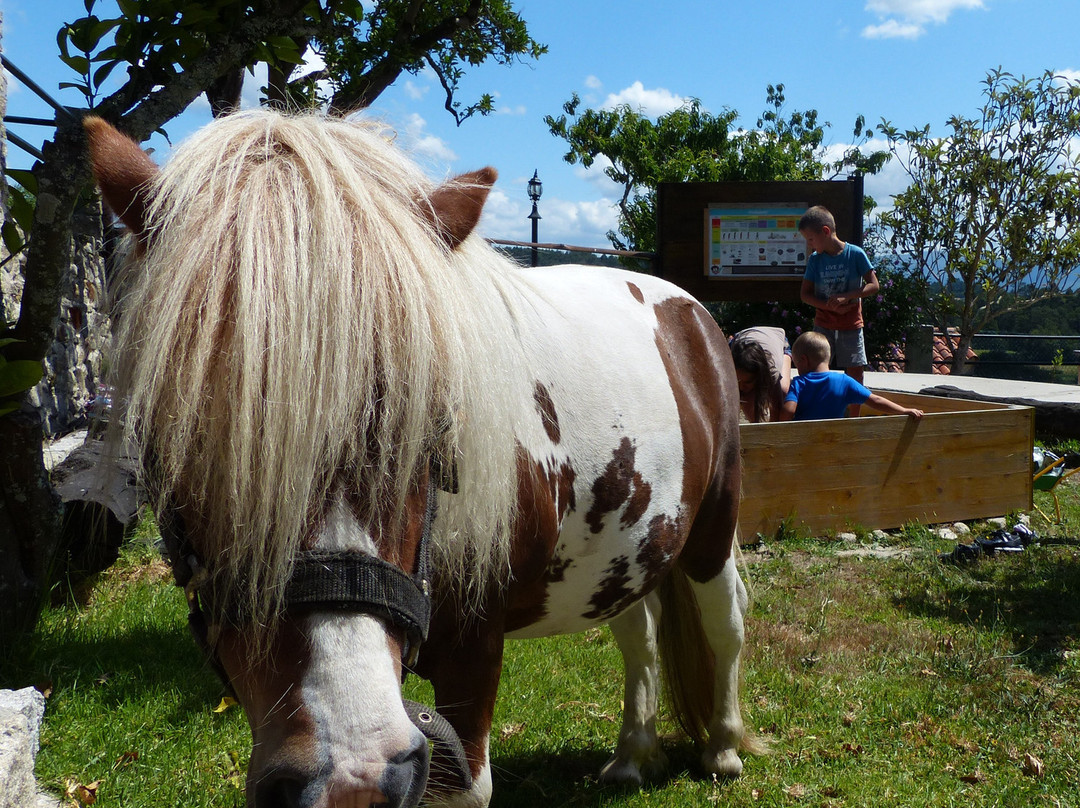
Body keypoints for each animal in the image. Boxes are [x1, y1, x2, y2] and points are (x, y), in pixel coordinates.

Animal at [86, 109, 751, 808]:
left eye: (432, 427)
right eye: (177, 435)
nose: (351, 779)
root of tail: (688, 308)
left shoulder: (473, 663)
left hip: (712, 530)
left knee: (725, 621)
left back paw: (723, 748)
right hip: (629, 548)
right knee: (638, 632)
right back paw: (632, 754)